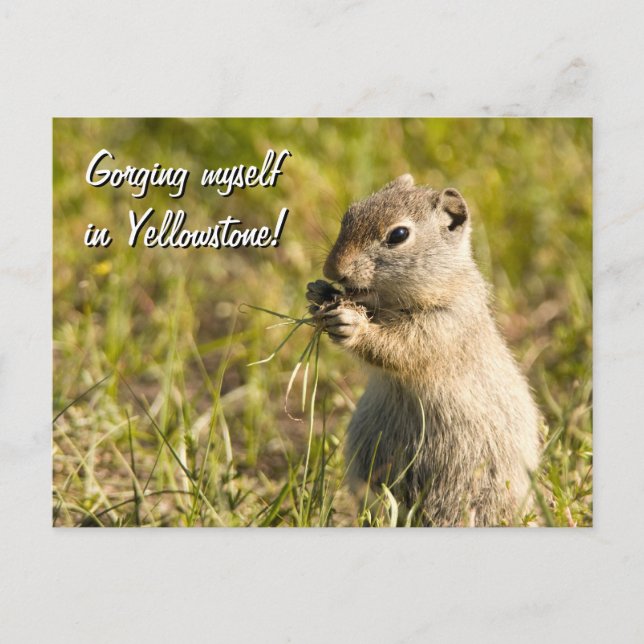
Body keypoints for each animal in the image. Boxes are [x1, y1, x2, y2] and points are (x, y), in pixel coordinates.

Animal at [306, 174, 541, 526]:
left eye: (399, 235)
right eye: (349, 213)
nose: (333, 270)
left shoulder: (445, 325)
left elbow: (398, 349)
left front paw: (352, 325)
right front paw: (318, 293)